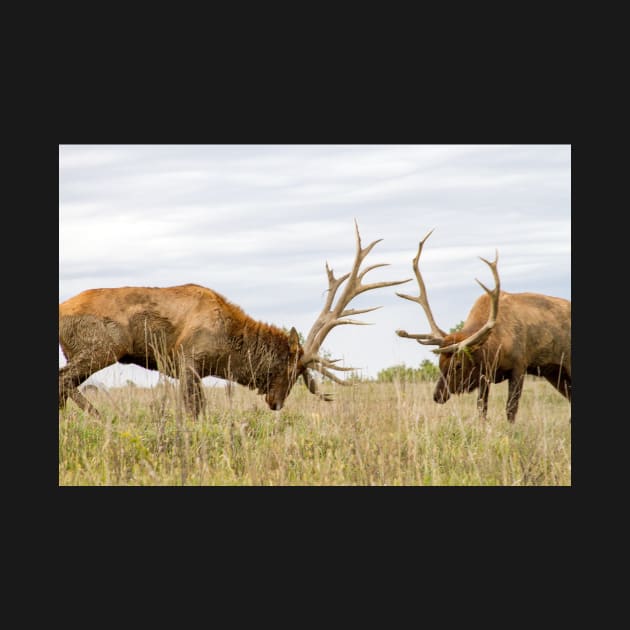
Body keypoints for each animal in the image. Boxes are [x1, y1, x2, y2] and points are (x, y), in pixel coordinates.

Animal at [59, 222, 412, 420]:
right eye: (290, 369)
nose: (277, 403)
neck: (228, 350)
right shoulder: (188, 360)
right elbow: (195, 411)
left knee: (66, 384)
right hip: (102, 347)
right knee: (64, 381)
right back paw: (103, 417)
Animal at [400, 230, 572, 422]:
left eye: (458, 365)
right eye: (439, 363)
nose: (437, 395)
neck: (496, 346)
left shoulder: (520, 365)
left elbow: (511, 409)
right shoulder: (484, 374)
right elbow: (481, 409)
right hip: (555, 373)